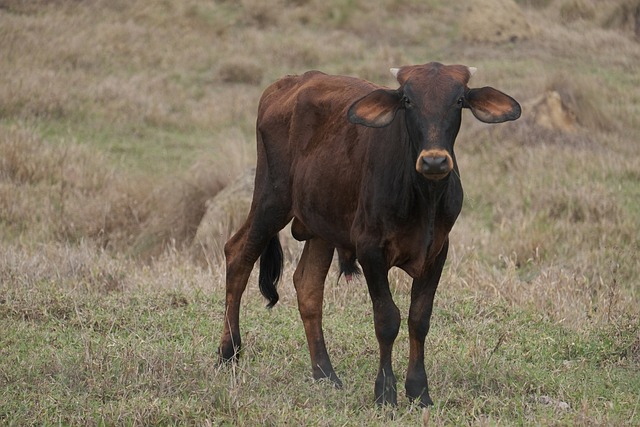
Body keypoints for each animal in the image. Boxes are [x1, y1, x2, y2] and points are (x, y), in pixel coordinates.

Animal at [218, 61, 524, 406]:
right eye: (408, 101)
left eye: (459, 101)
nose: (434, 161)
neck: (423, 197)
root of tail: (287, 82)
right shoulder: (370, 251)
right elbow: (387, 319)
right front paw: (385, 392)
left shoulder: (437, 252)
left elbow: (419, 319)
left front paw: (419, 391)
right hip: (271, 200)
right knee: (238, 255)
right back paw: (228, 353)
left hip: (321, 227)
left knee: (308, 286)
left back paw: (325, 373)